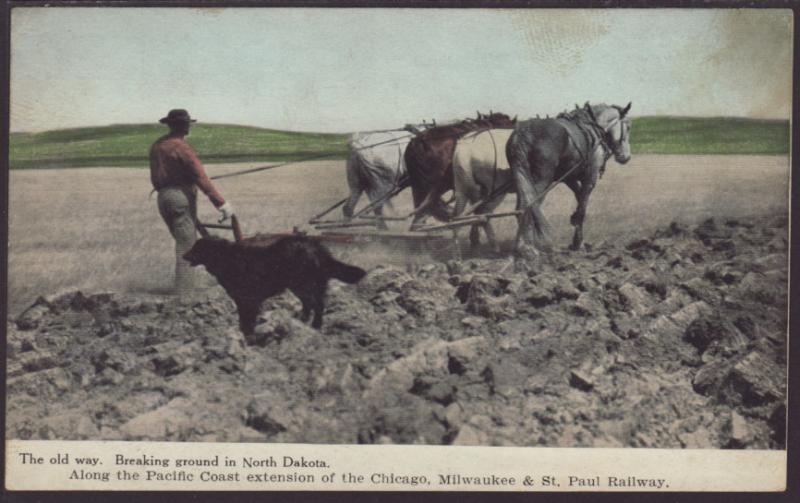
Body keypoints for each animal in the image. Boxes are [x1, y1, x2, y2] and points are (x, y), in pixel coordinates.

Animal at [184, 236, 366, 334]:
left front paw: (247, 336)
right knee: (311, 304)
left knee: (317, 304)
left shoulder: (248, 299)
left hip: (303, 283)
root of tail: (316, 247)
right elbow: (243, 319)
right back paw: (302, 321)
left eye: (197, 248)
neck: (227, 258)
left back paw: (315, 326)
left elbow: (246, 318)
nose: (183, 255)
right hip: (303, 285)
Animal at [506, 103, 632, 256]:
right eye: (628, 127)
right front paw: (578, 243)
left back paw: (524, 245)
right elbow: (582, 208)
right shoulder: (590, 177)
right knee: (530, 205)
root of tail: (522, 133)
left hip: (523, 178)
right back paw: (528, 247)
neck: (594, 130)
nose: (626, 157)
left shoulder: (569, 178)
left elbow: (579, 200)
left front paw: (576, 228)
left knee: (522, 207)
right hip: (542, 179)